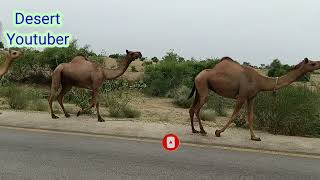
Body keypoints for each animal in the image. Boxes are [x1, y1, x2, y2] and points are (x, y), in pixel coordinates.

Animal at [189, 57, 320, 141]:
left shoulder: (251, 97)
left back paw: (195, 130)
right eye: (312, 63)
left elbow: (251, 117)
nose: (319, 62)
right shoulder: (242, 96)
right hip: (203, 87)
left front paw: (255, 137)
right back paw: (203, 131)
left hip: (200, 90)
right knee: (197, 109)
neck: (260, 81)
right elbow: (234, 115)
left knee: (192, 109)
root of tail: (196, 76)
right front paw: (218, 132)